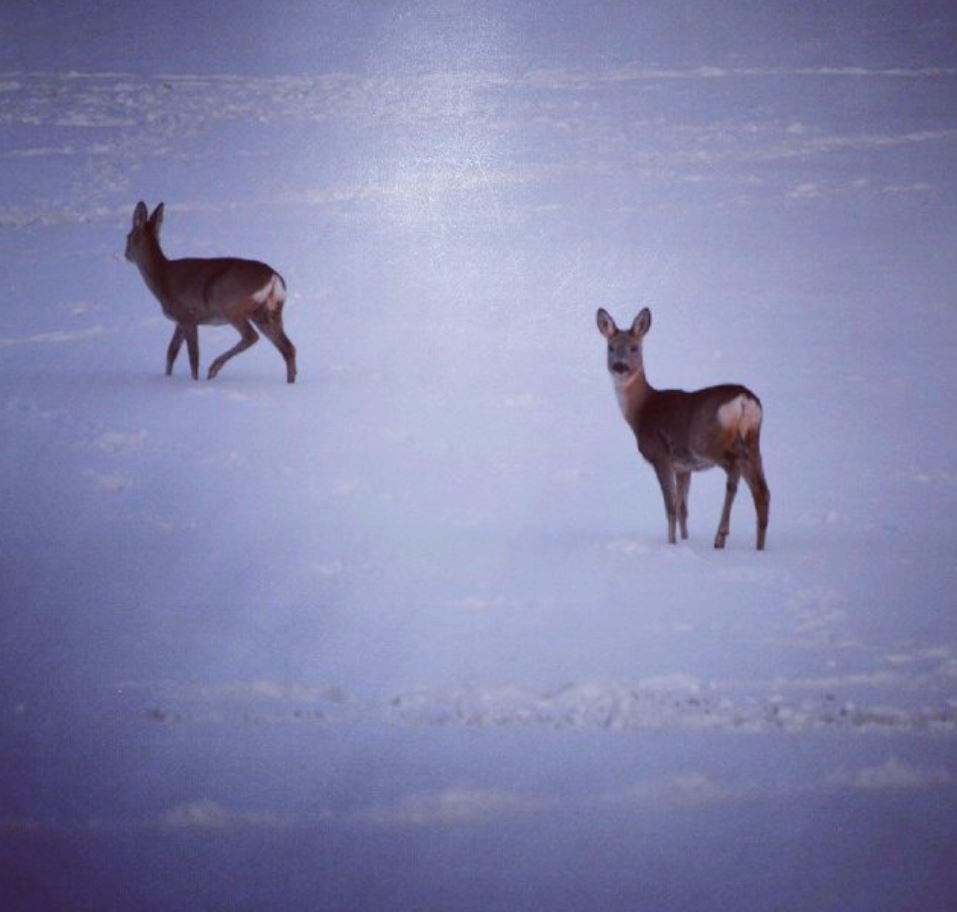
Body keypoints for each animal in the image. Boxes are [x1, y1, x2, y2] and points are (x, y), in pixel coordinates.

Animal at [125, 201, 296, 382]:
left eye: (127, 236)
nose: (126, 254)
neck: (162, 277)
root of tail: (274, 278)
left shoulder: (187, 315)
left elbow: (193, 356)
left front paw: (194, 381)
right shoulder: (179, 320)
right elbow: (171, 352)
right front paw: (167, 377)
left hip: (231, 306)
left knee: (251, 336)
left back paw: (214, 368)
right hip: (267, 312)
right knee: (288, 348)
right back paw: (290, 383)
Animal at [596, 308, 768, 548]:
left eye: (634, 347)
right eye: (610, 347)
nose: (620, 366)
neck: (641, 410)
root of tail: (744, 400)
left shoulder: (660, 455)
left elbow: (670, 507)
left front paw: (672, 544)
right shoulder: (683, 467)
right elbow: (683, 508)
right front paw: (685, 540)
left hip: (707, 441)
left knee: (735, 468)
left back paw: (720, 536)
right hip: (754, 438)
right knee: (762, 490)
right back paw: (759, 547)